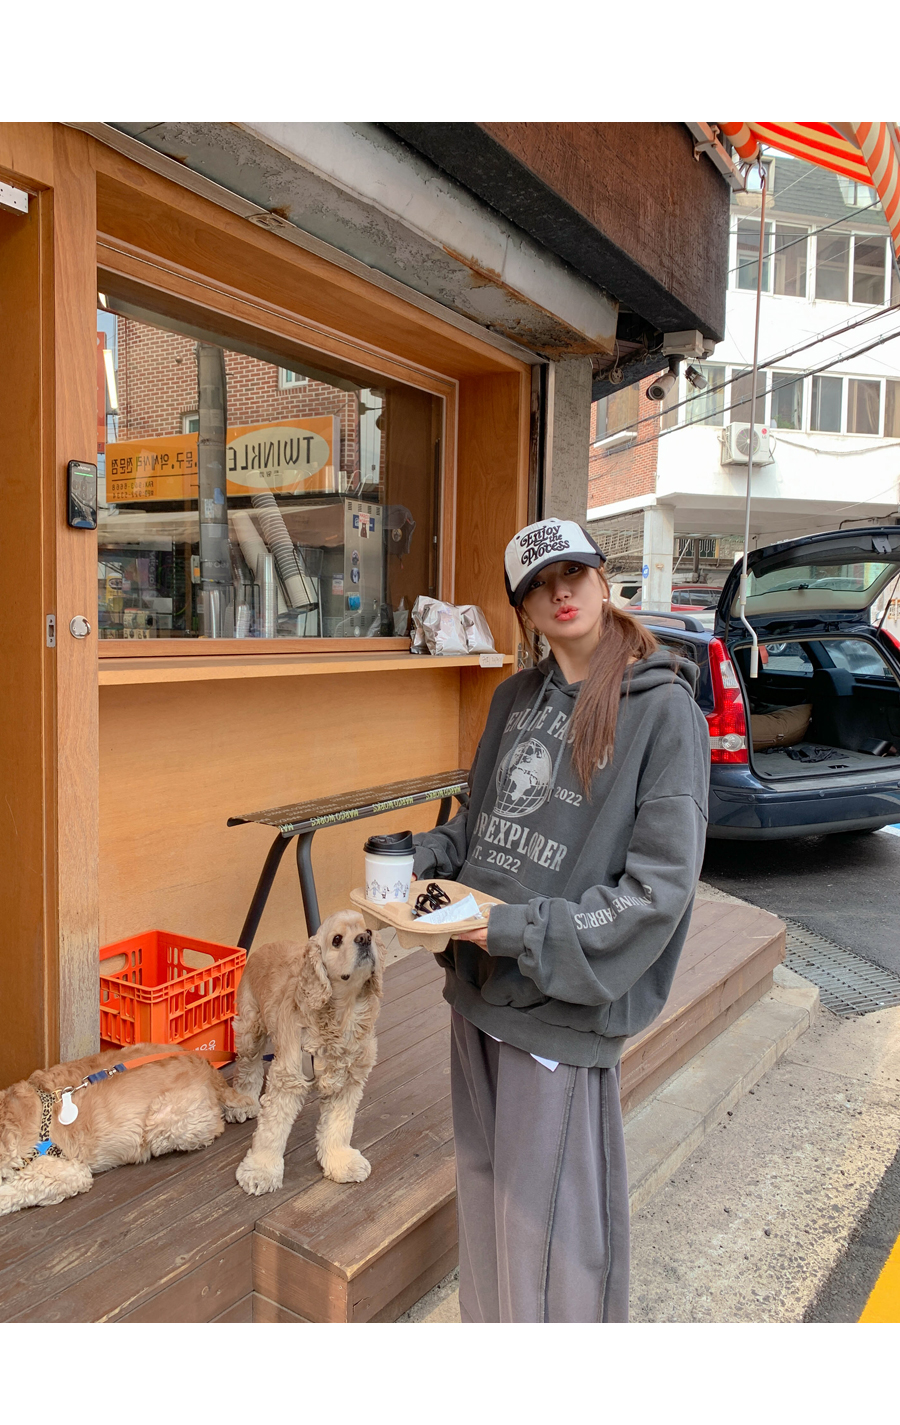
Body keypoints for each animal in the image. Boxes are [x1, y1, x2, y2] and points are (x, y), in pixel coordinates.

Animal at [233, 909, 384, 1196]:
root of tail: (264, 945)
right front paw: (260, 1171)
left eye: (368, 930)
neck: (343, 1014)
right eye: (337, 940)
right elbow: (271, 1131)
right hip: (249, 1028)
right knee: (247, 1068)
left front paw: (341, 1163)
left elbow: (339, 1126)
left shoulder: (347, 1083)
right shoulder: (288, 1078)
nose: (364, 939)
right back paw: (243, 1102)